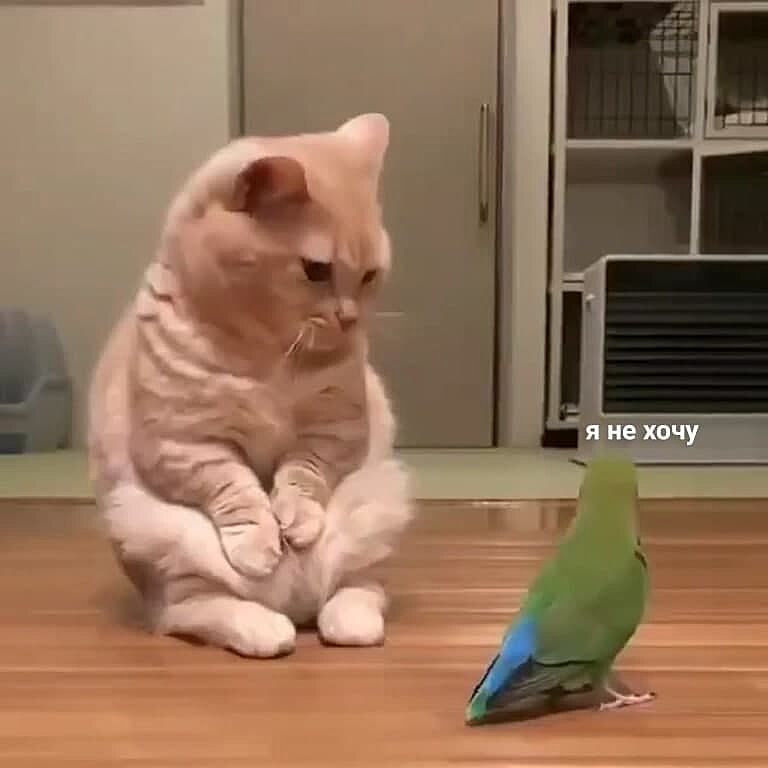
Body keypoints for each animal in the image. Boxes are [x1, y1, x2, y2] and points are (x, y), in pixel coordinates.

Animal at [88, 113, 413, 657]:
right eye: (316, 270)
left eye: (370, 275)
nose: (349, 319)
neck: (268, 359)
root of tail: (297, 607)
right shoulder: (187, 443)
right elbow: (236, 490)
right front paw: (263, 541)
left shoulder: (335, 429)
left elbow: (303, 474)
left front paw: (295, 520)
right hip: (166, 552)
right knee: (198, 611)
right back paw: (268, 627)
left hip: (372, 516)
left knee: (356, 594)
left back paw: (345, 622)